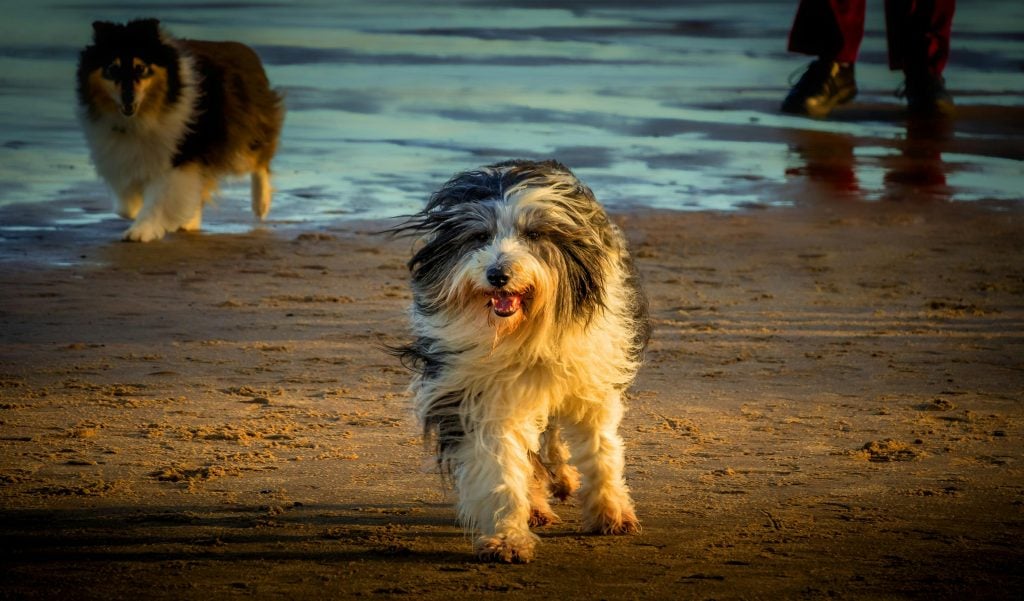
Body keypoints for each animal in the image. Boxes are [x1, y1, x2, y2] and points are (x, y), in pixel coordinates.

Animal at [75, 20, 284, 242]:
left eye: (141, 68)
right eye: (113, 68)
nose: (128, 98)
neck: (145, 115)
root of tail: (249, 51)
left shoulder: (180, 153)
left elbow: (162, 196)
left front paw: (141, 231)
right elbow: (127, 205)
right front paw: (136, 210)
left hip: (242, 137)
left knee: (260, 162)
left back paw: (261, 205)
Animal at [391, 159, 647, 565]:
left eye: (534, 233)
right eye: (480, 236)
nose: (498, 275)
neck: (523, 333)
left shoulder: (592, 379)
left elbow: (600, 448)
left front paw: (611, 512)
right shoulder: (482, 393)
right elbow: (502, 463)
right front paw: (508, 537)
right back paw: (538, 503)